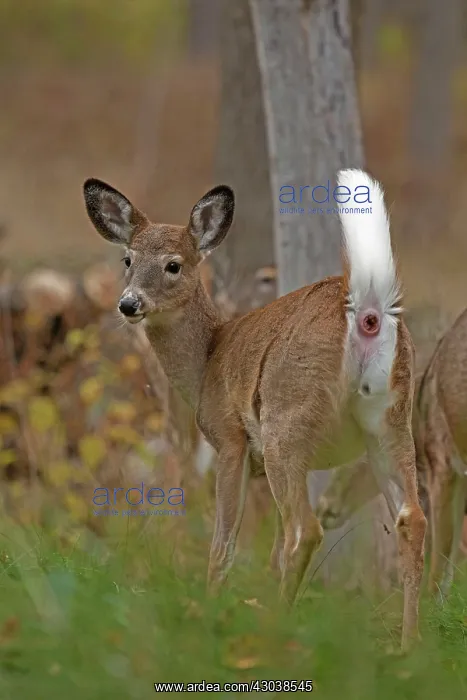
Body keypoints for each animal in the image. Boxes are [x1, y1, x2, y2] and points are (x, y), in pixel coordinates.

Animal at [82, 169, 427, 651]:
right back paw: (408, 645)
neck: (208, 360)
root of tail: (367, 315)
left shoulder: (231, 441)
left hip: (286, 420)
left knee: (305, 530)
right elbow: (268, 551)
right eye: (127, 259)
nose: (129, 304)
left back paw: (276, 631)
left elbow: (223, 545)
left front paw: (208, 612)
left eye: (174, 265)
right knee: (410, 518)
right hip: (388, 421)